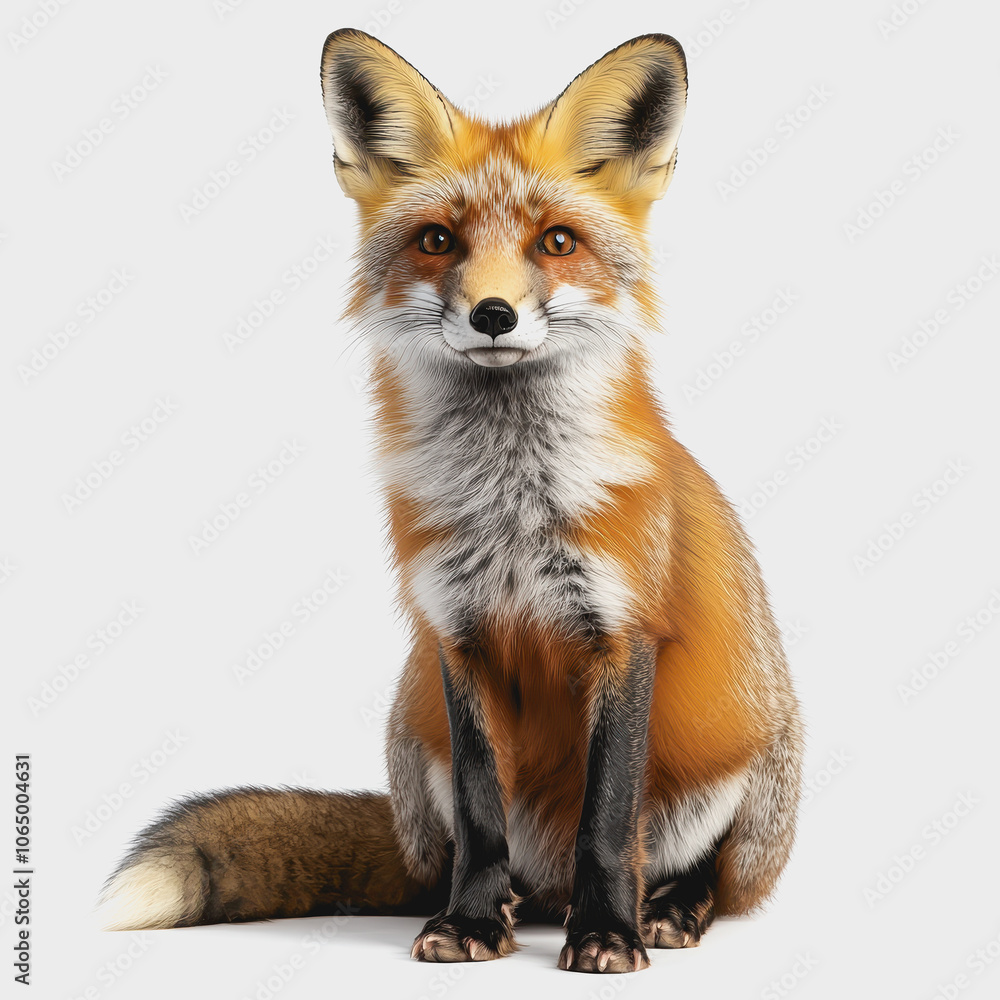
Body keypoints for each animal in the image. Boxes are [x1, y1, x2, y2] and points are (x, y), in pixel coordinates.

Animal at [99, 29, 803, 974]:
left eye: (556, 241)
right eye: (438, 240)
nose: (494, 313)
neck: (510, 504)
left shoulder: (623, 634)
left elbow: (609, 820)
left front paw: (607, 933)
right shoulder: (455, 632)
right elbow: (479, 809)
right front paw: (469, 922)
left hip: (748, 772)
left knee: (713, 879)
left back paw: (666, 909)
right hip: (409, 733)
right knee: (479, 859)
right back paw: (498, 903)